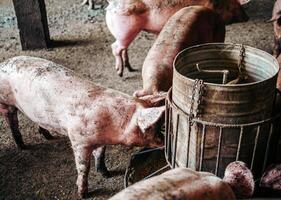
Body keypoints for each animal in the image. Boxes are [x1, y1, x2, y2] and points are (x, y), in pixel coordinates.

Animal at [0, 55, 166, 198]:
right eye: (156, 127)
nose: (164, 142)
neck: (112, 128)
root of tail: (3, 63)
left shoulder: (101, 140)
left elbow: (100, 154)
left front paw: (106, 173)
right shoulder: (78, 141)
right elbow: (83, 167)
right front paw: (83, 194)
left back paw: (48, 136)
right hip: (5, 103)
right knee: (12, 123)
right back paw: (22, 146)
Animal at [105, 0, 249, 76]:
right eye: (235, 5)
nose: (247, 17)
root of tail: (111, 4)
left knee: (123, 48)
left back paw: (129, 68)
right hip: (126, 31)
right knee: (115, 47)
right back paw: (120, 72)